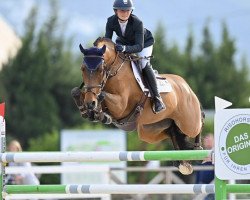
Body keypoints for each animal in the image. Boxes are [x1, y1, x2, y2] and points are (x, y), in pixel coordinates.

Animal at [71, 36, 204, 174]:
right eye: (82, 69)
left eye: (100, 70)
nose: (90, 103)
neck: (113, 71)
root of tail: (186, 86)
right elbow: (75, 91)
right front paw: (88, 111)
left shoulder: (121, 106)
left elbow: (103, 95)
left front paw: (100, 114)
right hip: (149, 131)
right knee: (172, 132)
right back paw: (181, 161)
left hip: (188, 123)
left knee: (199, 123)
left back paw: (197, 149)